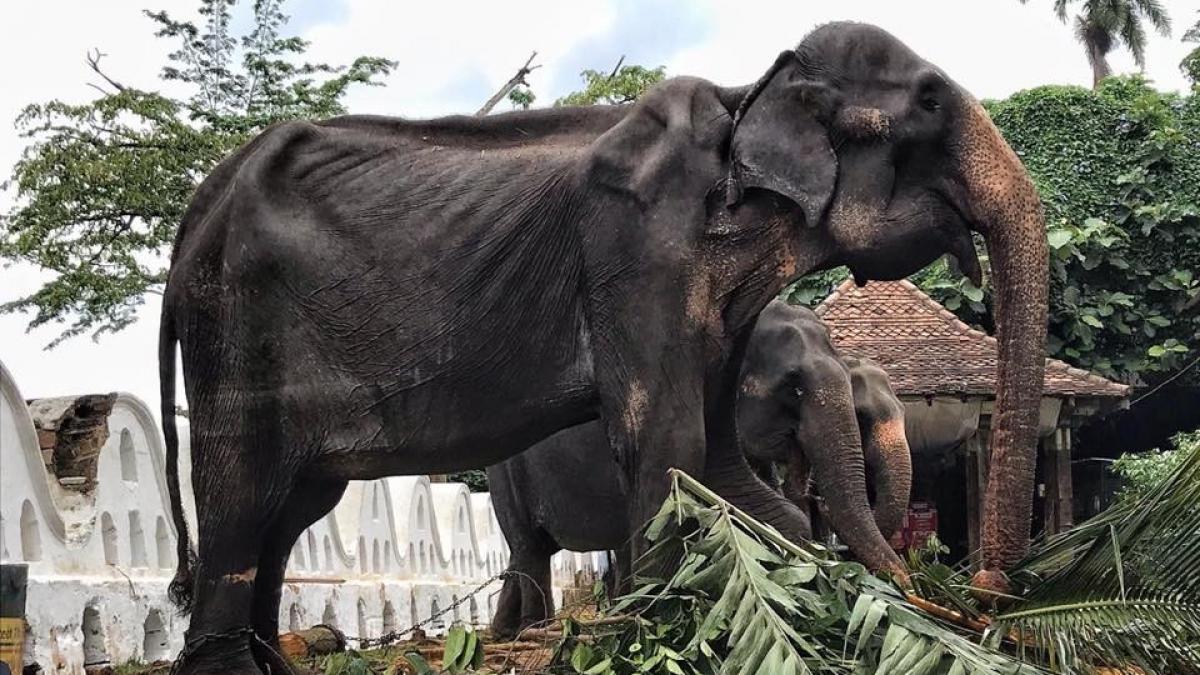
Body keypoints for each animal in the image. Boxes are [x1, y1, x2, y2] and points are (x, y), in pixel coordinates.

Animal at [486, 300, 913, 638]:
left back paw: (508, 631)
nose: (911, 589)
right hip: (505, 474)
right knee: (530, 548)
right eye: (794, 387)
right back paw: (536, 632)